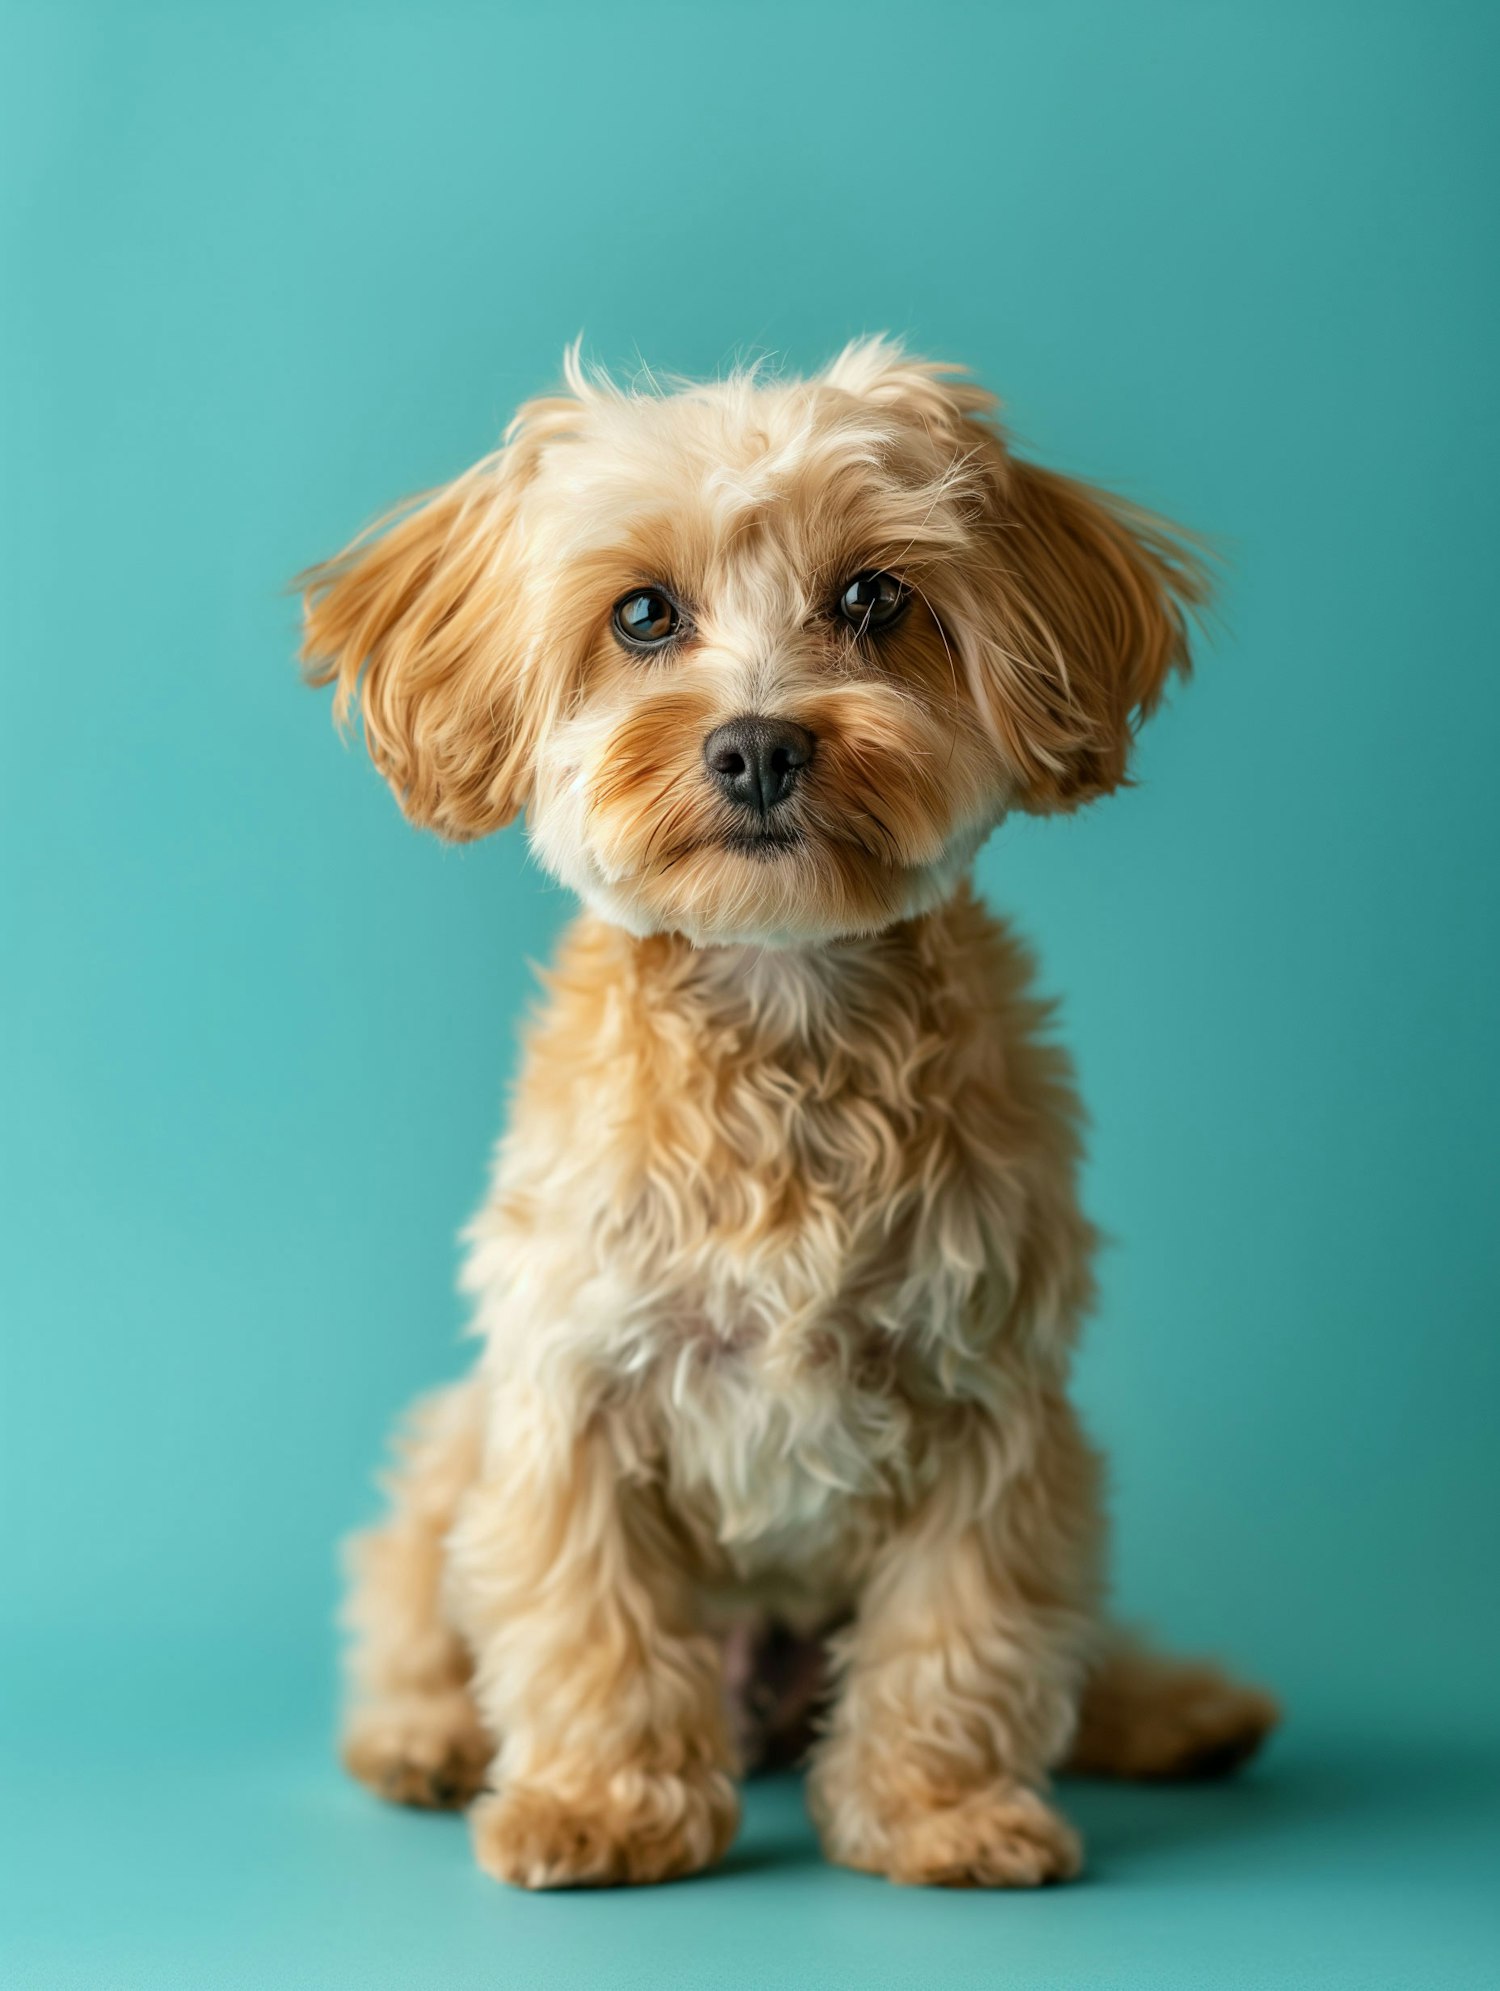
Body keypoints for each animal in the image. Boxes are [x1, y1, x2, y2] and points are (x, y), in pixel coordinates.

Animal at [300, 346, 1274, 1895]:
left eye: (875, 597)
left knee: (1074, 1643)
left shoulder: (994, 1405)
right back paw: (425, 1736)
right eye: (645, 612)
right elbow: (587, 1622)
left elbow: (961, 1631)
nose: (758, 745)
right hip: (453, 1445)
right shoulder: (572, 1393)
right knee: (411, 1606)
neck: (786, 1006)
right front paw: (603, 1804)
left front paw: (942, 1811)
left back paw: (1174, 1707)